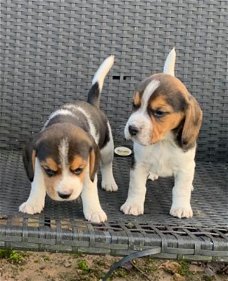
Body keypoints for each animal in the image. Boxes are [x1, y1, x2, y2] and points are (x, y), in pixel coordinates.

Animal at [19, 55, 117, 223]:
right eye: (49, 170)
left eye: (78, 169)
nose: (64, 195)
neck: (66, 119)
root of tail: (91, 104)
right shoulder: (38, 161)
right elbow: (37, 182)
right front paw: (33, 203)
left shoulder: (89, 166)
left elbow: (90, 187)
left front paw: (94, 210)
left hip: (106, 148)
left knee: (107, 165)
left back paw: (109, 182)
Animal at [121, 49, 203, 218]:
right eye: (134, 105)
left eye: (159, 112)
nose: (132, 129)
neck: (163, 141)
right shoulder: (139, 164)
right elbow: (137, 187)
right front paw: (133, 205)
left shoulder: (185, 166)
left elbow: (181, 189)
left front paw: (181, 207)